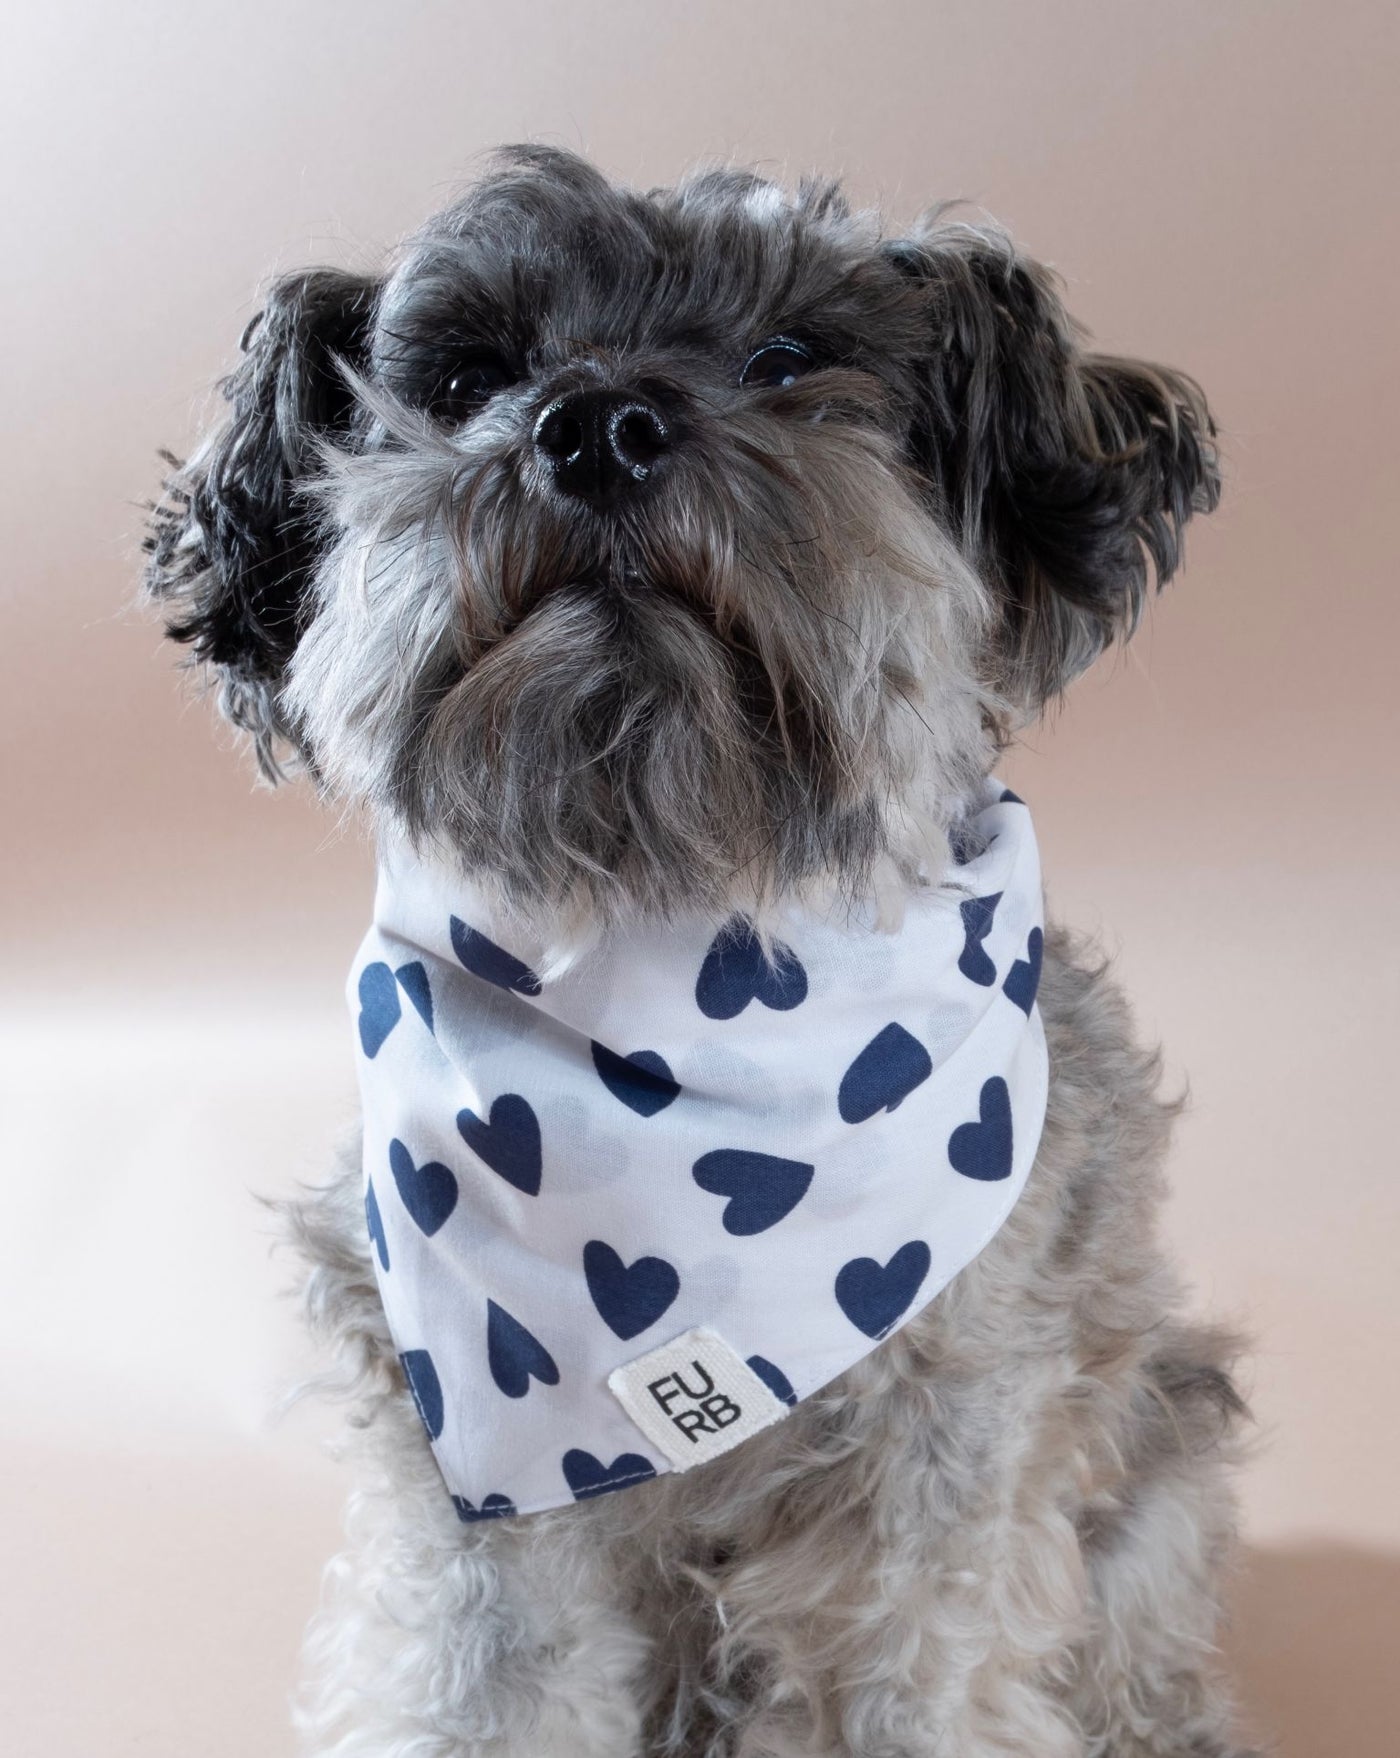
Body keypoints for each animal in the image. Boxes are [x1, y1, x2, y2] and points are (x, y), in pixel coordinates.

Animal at [147, 147, 1252, 1758]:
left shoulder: (946, 1463)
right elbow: (480, 1684)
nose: (595, 424)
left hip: (1156, 1460)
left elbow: (919, 1678)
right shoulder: (472, 1499)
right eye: (472, 376)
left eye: (786, 361)